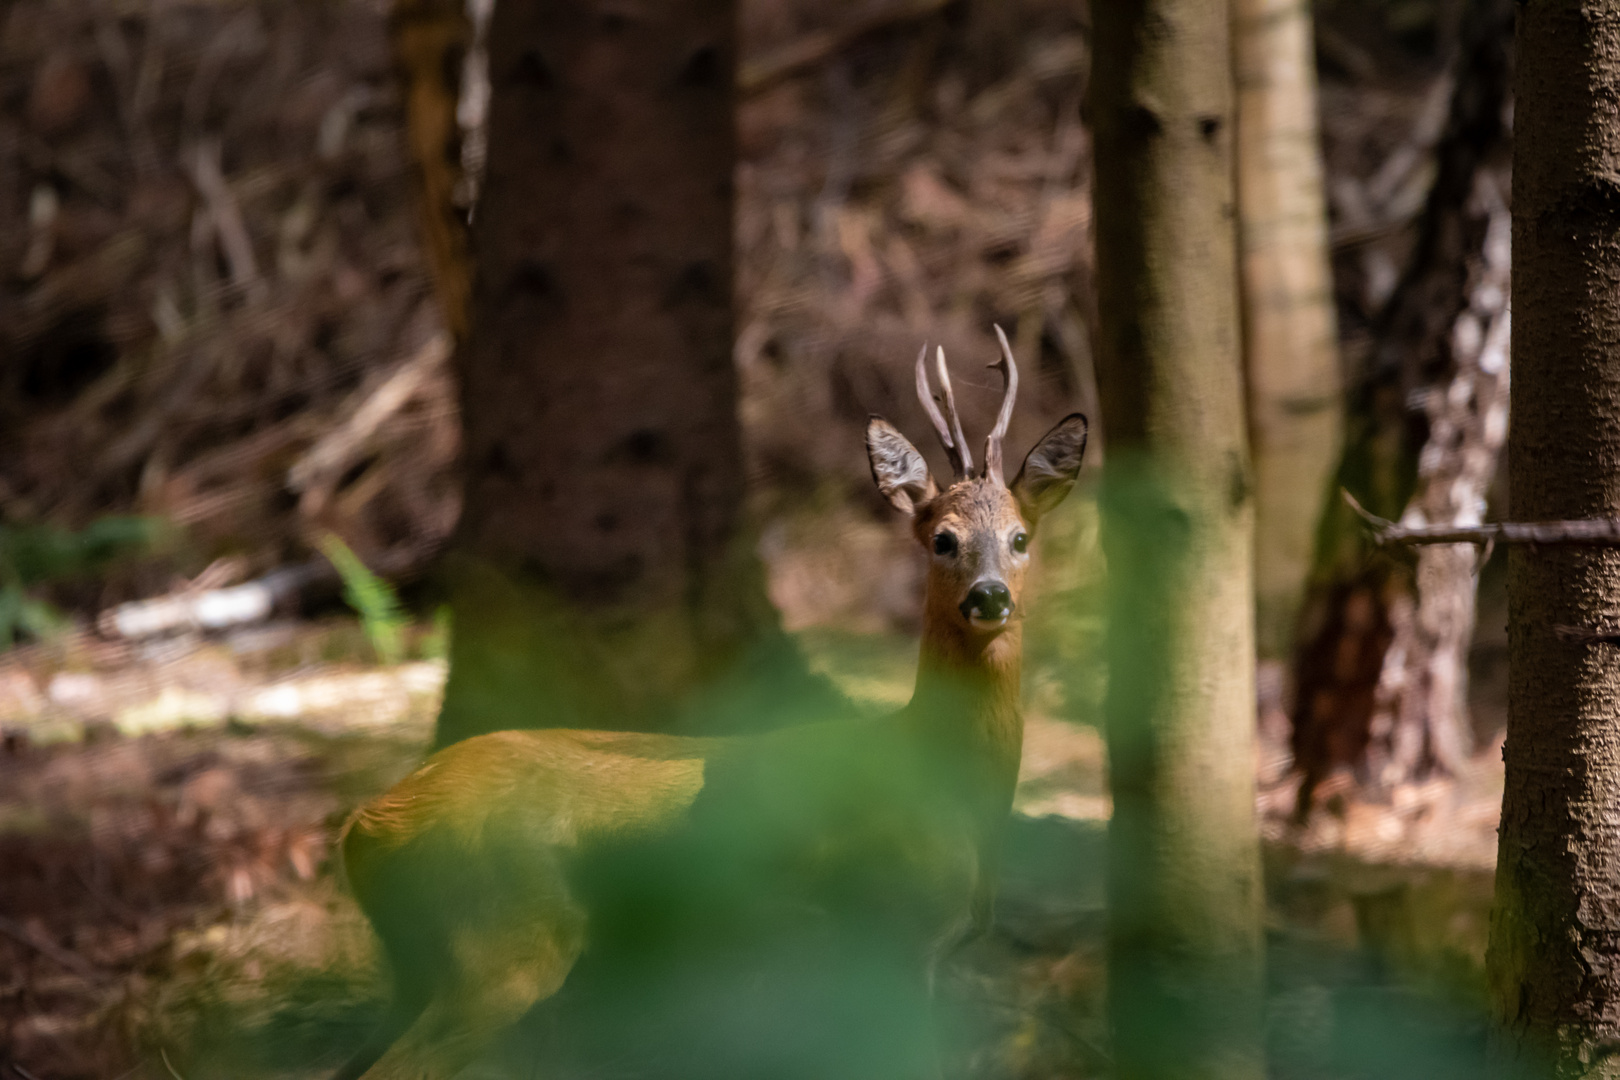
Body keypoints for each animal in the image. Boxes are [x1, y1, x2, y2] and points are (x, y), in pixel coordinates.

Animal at [332, 330, 1088, 1080]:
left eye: (1020, 538)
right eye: (942, 539)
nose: (989, 596)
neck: (939, 772)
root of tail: (367, 825)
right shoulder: (892, 935)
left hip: (425, 967)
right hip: (501, 942)